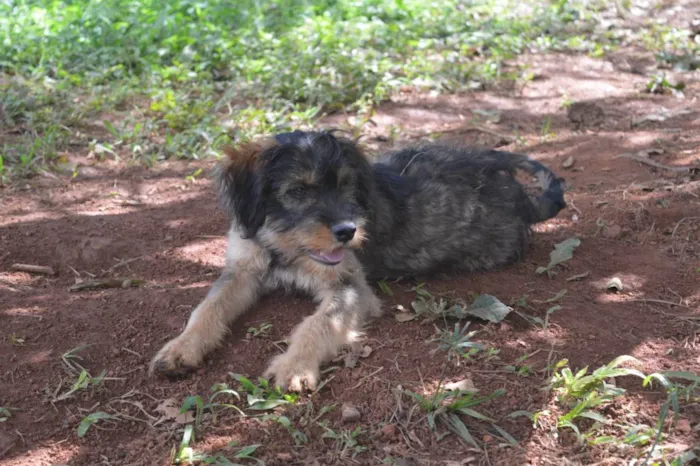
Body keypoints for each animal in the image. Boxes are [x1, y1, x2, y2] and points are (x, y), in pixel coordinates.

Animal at [150, 129, 568, 392]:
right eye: (297, 191)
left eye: (347, 186)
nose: (348, 231)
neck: (282, 242)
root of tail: (523, 200)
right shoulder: (241, 270)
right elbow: (207, 308)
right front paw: (181, 348)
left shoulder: (349, 286)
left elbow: (316, 324)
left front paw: (295, 366)